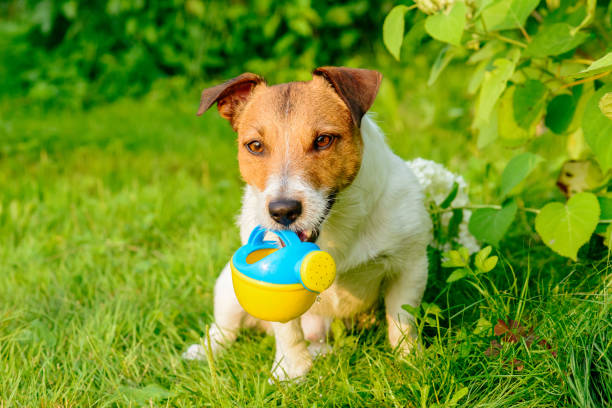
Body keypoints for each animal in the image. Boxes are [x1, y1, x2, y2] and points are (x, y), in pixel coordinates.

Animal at [184, 67, 432, 382]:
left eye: (323, 140)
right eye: (255, 146)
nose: (282, 211)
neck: (333, 228)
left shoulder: (410, 265)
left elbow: (402, 319)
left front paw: (410, 361)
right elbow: (287, 331)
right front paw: (291, 372)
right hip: (228, 286)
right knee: (224, 329)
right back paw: (203, 351)